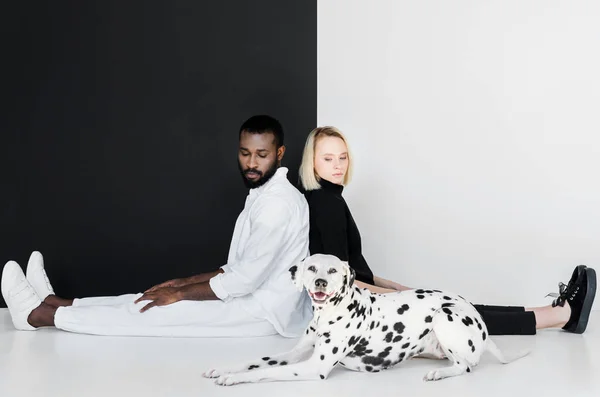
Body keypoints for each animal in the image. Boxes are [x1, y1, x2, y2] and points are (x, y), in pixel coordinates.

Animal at [205, 252, 528, 386]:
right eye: (311, 268)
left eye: (333, 271)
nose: (320, 282)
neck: (328, 313)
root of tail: (478, 317)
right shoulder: (295, 353)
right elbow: (257, 361)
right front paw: (223, 369)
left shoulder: (313, 366)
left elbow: (264, 372)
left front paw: (233, 379)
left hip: (443, 315)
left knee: (465, 366)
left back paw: (440, 373)